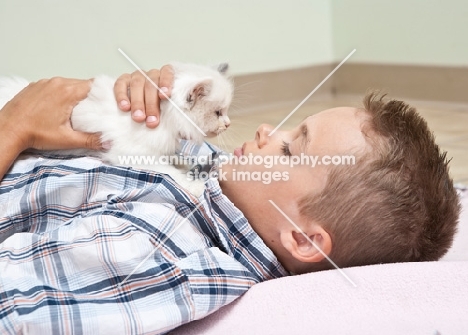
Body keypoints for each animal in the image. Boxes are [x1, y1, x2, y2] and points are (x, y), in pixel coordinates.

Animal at [0, 62, 234, 197]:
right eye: (218, 113)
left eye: (224, 111)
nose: (228, 123)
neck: (164, 117)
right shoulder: (133, 154)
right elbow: (170, 171)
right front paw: (193, 185)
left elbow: (174, 158)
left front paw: (186, 163)